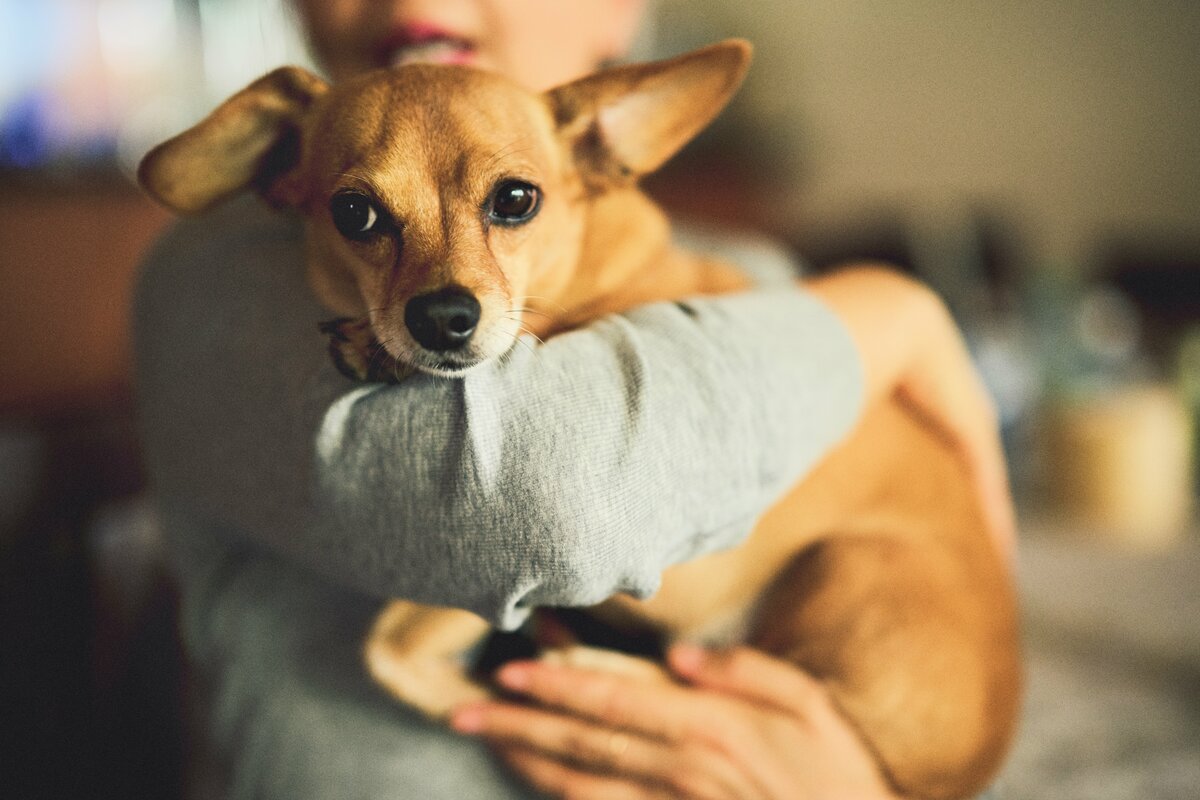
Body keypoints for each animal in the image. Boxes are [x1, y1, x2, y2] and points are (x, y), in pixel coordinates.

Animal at [140, 42, 1022, 800]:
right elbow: (393, 649)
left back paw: (603, 667)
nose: (443, 318)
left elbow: (390, 645)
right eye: (354, 213)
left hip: (846, 566)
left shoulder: (506, 576)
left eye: (515, 200)